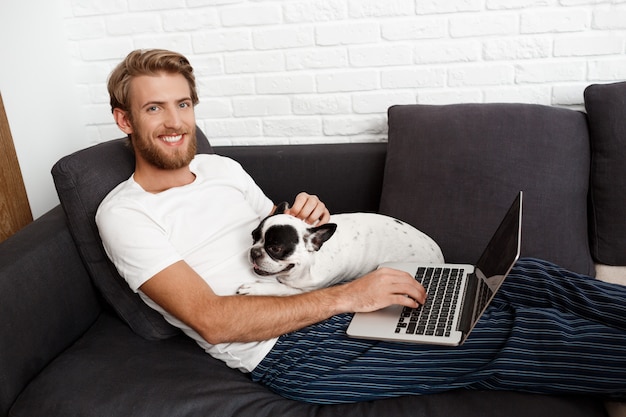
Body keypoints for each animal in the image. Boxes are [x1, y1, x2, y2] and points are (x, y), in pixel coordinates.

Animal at [235, 202, 444, 296]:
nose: (254, 251)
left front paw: (254, 288)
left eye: (275, 248)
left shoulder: (304, 290)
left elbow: (278, 288)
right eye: (253, 237)